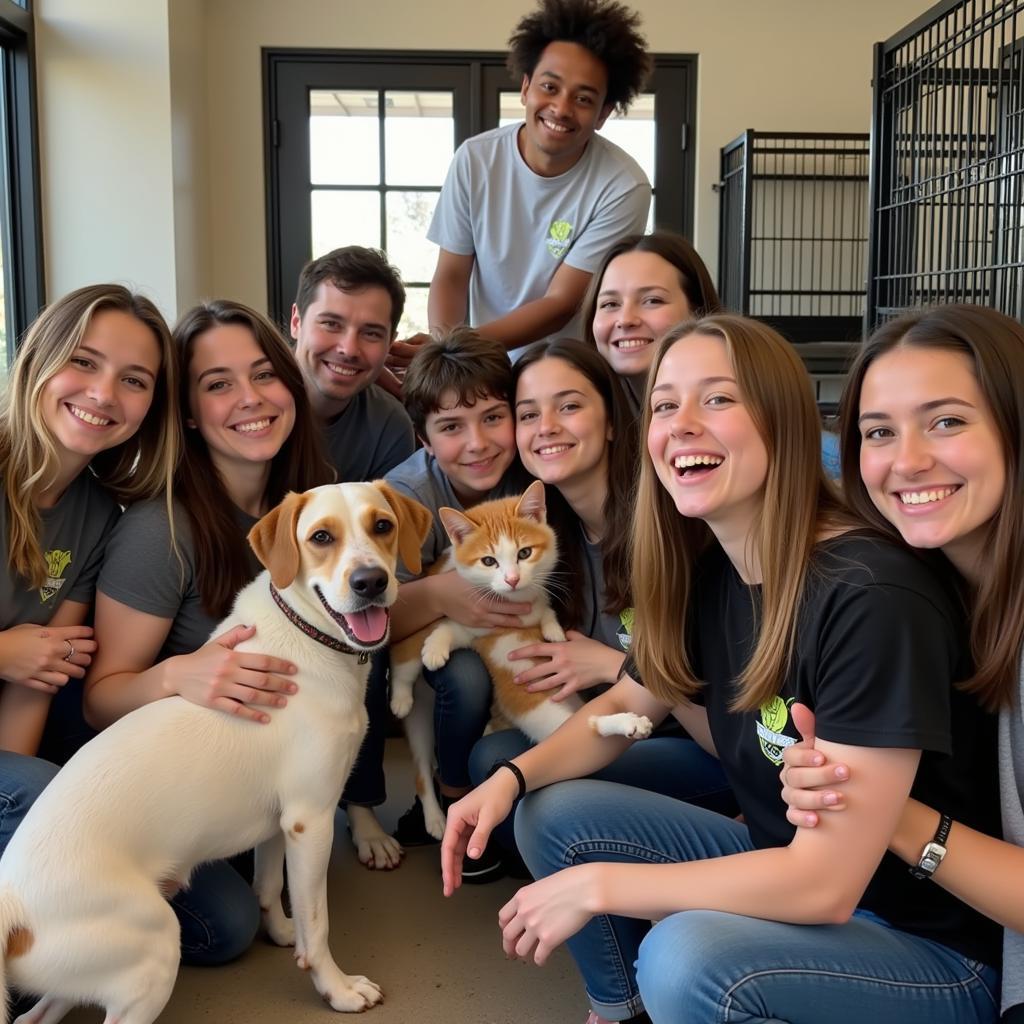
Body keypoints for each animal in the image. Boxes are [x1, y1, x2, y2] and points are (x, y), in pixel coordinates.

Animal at [0, 481, 430, 1024]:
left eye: (382, 525)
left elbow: (268, 889)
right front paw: (335, 987)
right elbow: (319, 923)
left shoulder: (280, 825)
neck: (306, 641)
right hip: (157, 951)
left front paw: (285, 935)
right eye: (321, 536)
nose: (370, 581)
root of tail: (14, 907)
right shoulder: (310, 821)